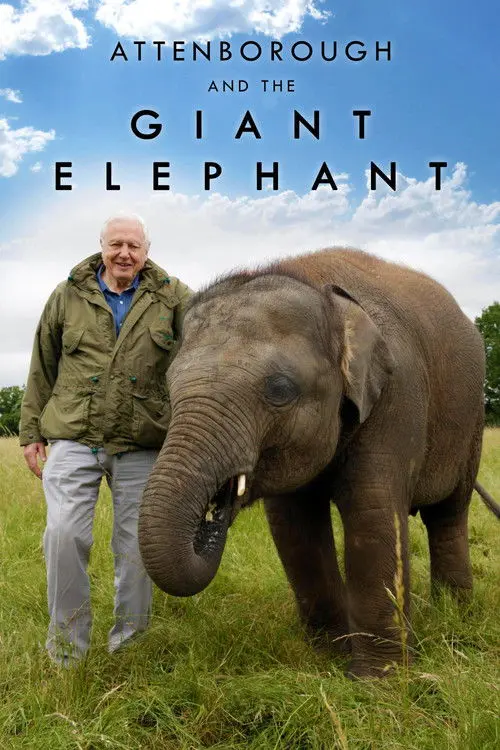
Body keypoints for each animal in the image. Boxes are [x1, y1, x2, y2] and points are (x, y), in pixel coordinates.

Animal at [138, 247, 496, 678]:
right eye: (170, 388)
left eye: (279, 390)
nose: (212, 518)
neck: (320, 289)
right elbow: (293, 525)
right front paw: (328, 658)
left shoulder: (398, 394)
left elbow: (372, 509)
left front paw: (379, 680)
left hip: (471, 423)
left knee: (448, 513)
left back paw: (455, 616)